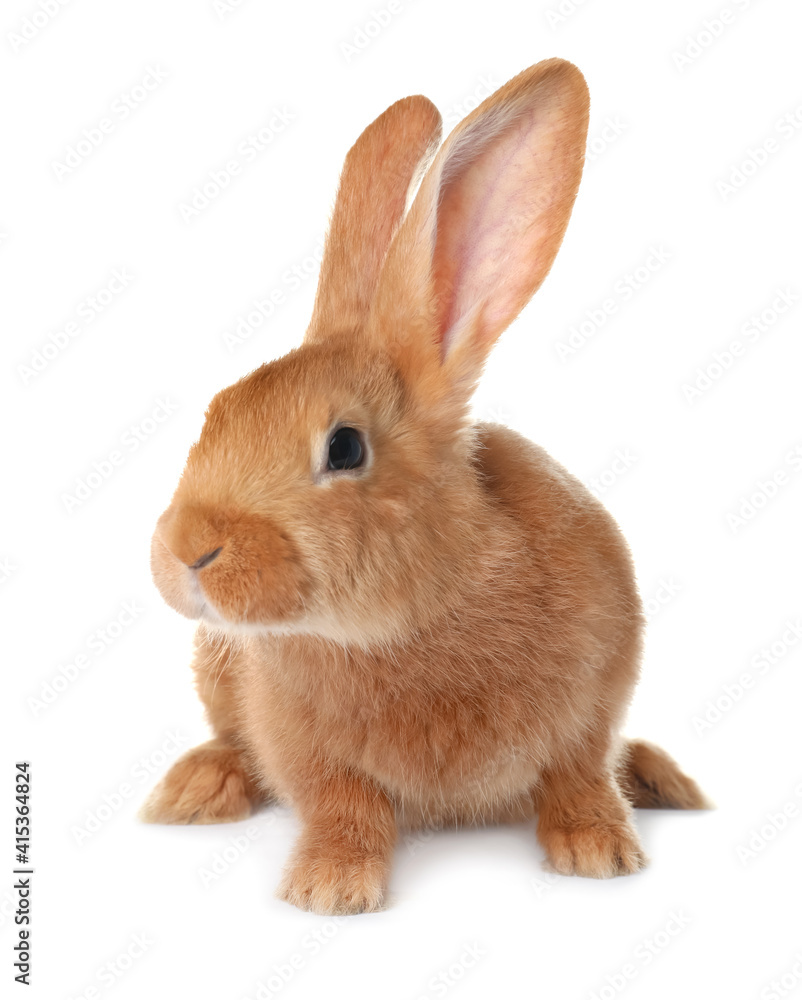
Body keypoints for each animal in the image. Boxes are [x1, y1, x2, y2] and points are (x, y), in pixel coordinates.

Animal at [140, 58, 709, 915]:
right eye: (218, 412)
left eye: (344, 447)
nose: (186, 552)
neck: (410, 617)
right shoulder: (301, 743)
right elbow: (340, 803)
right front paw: (331, 887)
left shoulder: (599, 691)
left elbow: (579, 772)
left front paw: (600, 852)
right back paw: (194, 790)